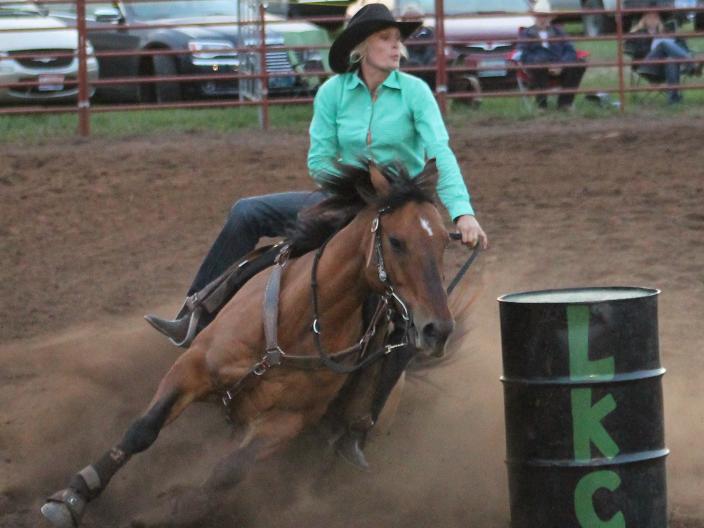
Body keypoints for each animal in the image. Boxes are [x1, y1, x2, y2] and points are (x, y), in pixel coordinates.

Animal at [41, 160, 456, 528]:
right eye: (397, 241)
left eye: (443, 242)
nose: (437, 329)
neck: (295, 324)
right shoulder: (193, 368)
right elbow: (142, 430)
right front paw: (71, 498)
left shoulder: (286, 422)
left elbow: (227, 471)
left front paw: (171, 510)